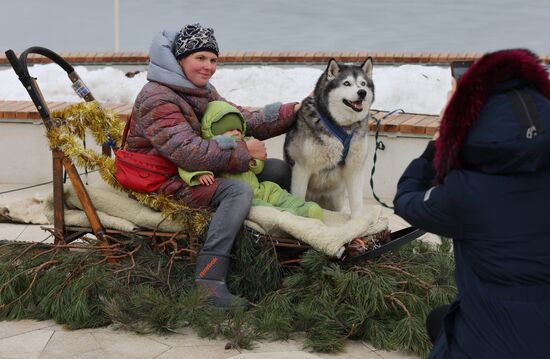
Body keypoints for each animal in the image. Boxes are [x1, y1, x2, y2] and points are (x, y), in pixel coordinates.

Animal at [284, 58, 376, 219]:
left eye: (363, 83)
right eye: (346, 83)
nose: (362, 92)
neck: (341, 126)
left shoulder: (355, 169)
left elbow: (357, 202)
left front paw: (358, 221)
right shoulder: (301, 169)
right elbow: (298, 199)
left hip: (336, 200)